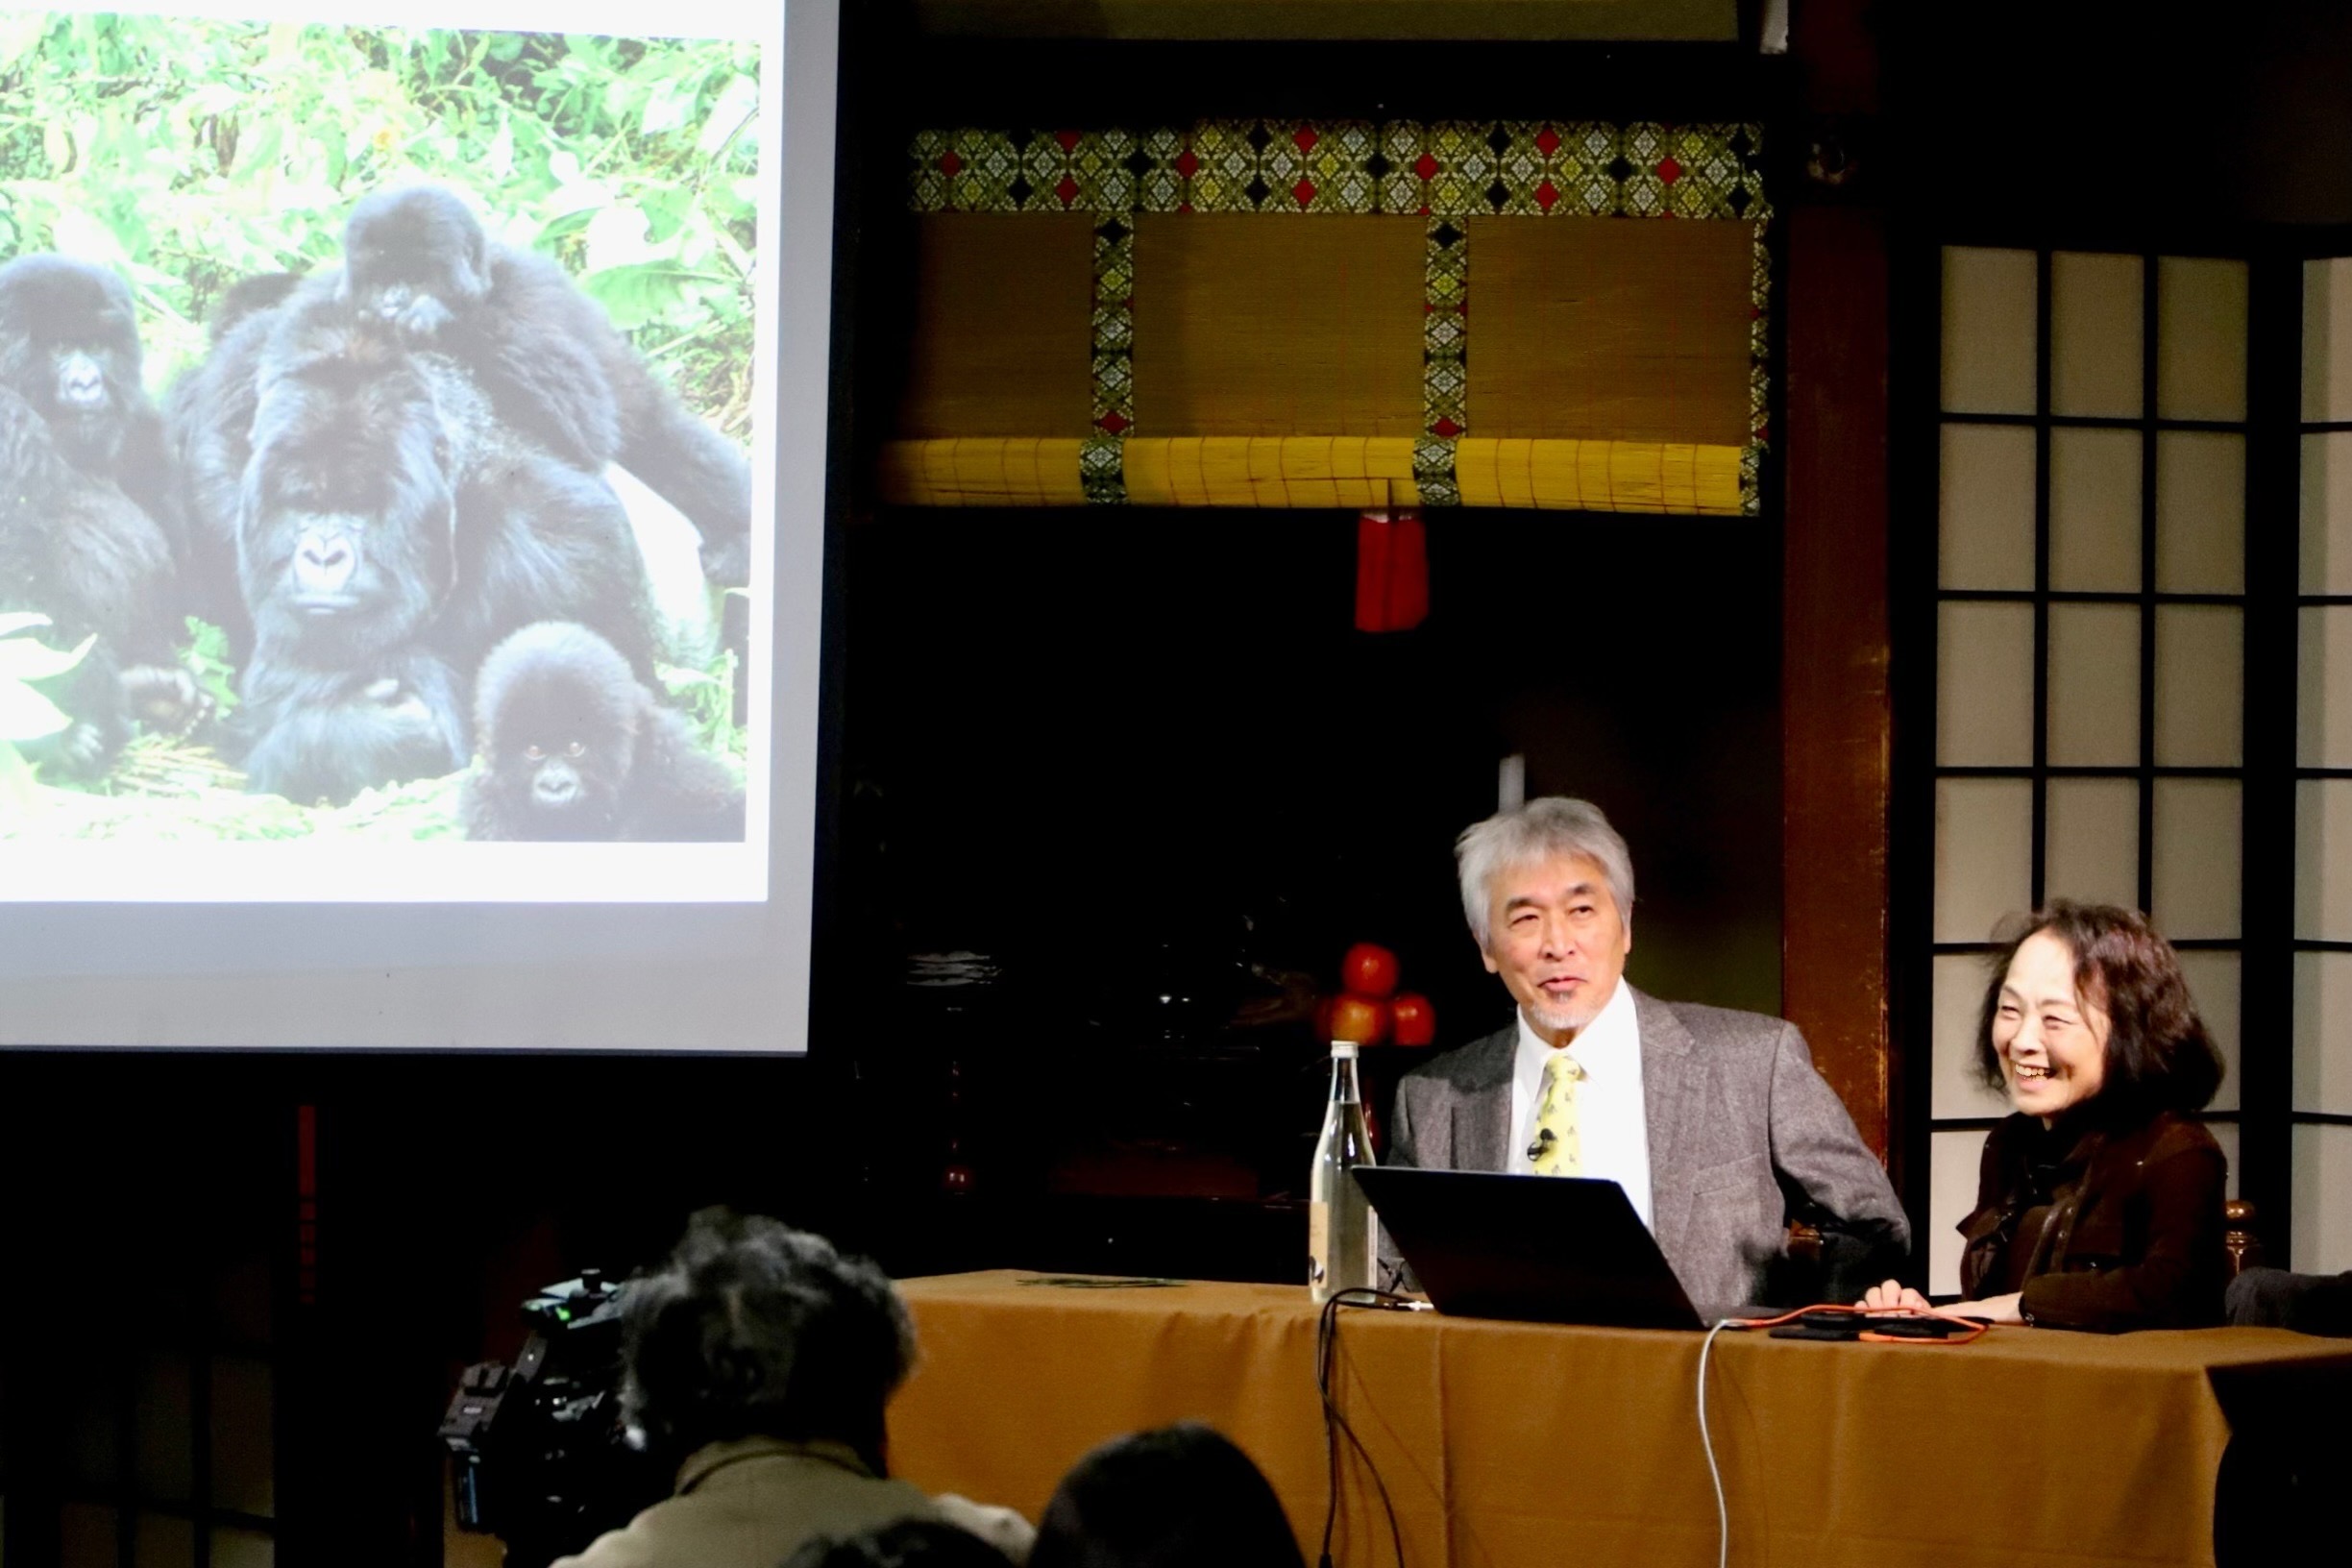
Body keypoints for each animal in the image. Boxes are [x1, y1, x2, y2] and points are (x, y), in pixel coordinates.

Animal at [331, 185, 747, 587]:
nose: (392, 303)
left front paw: (441, 315)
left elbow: (586, 418)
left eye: (419, 278)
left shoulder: (530, 287)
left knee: (678, 447)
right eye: (381, 278)